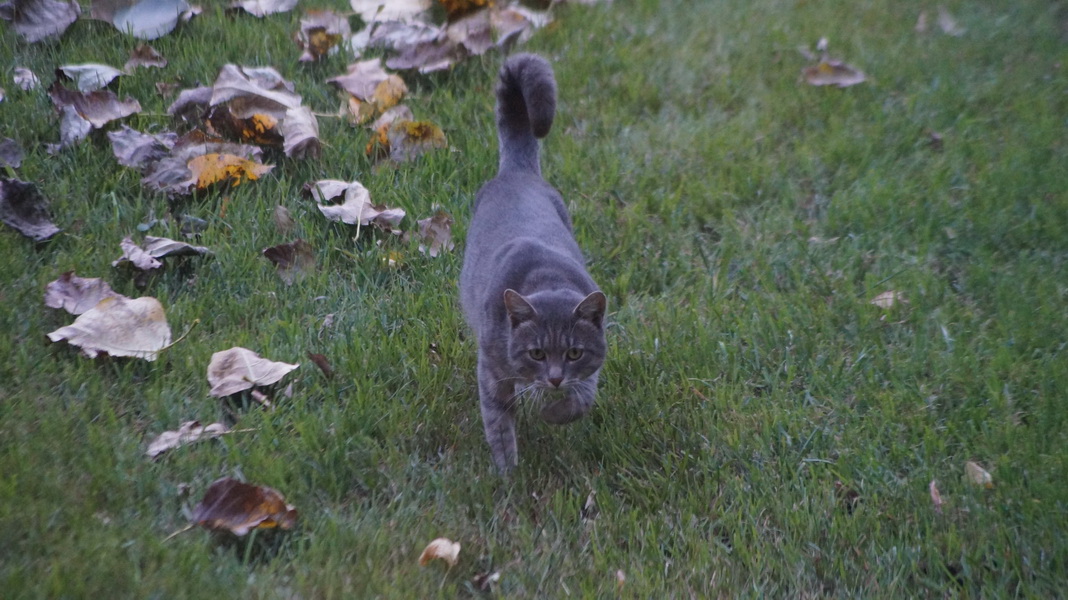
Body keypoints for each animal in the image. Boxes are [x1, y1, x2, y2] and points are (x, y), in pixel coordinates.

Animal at [461, 52, 610, 471]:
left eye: (574, 352)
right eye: (537, 353)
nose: (556, 379)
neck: (546, 278)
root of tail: (518, 172)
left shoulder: (590, 368)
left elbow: (582, 399)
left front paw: (553, 413)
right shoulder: (490, 372)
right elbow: (498, 422)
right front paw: (508, 473)